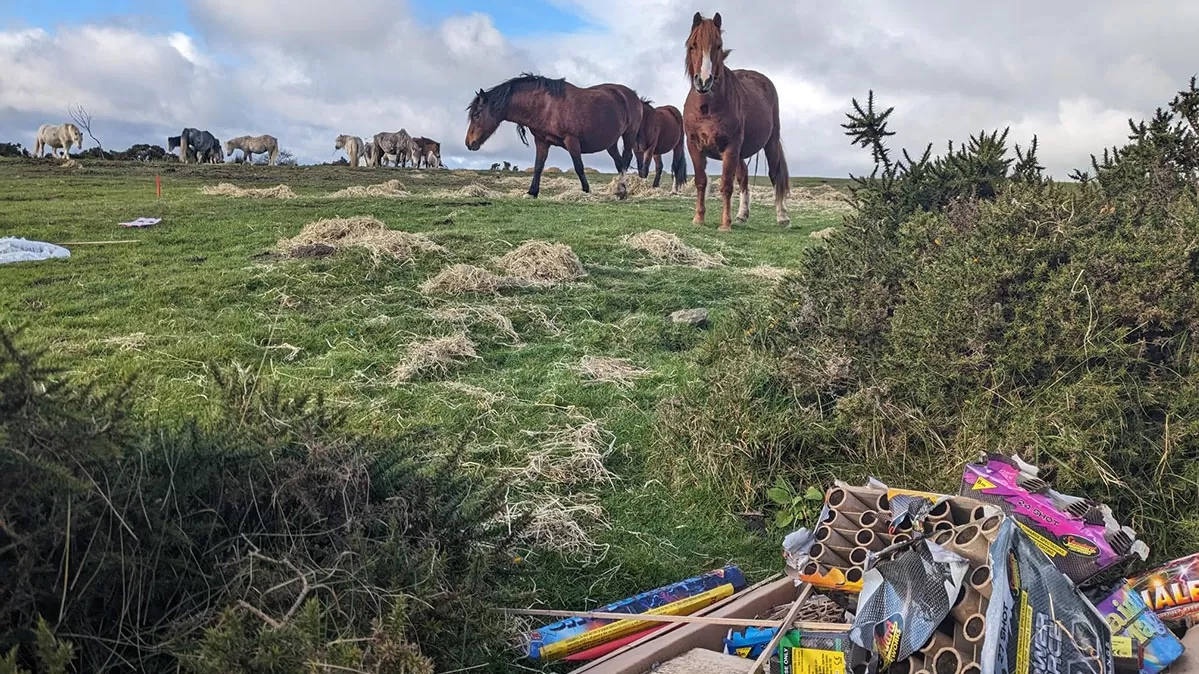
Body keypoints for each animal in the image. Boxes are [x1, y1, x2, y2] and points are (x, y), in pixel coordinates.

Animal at [462, 74, 647, 199]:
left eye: (477, 114)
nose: (469, 143)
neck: (545, 106)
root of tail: (632, 95)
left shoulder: (571, 140)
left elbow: (579, 167)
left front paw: (586, 191)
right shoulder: (542, 141)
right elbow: (538, 166)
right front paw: (532, 192)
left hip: (628, 135)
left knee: (626, 158)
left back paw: (622, 190)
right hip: (611, 143)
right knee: (619, 163)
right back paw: (619, 190)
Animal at [681, 11, 791, 227]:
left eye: (718, 45)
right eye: (693, 45)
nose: (704, 81)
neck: (707, 107)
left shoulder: (730, 147)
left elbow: (726, 185)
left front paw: (725, 224)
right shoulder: (694, 146)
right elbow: (701, 181)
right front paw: (699, 218)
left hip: (770, 142)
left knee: (775, 174)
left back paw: (782, 216)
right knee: (743, 177)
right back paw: (742, 214)